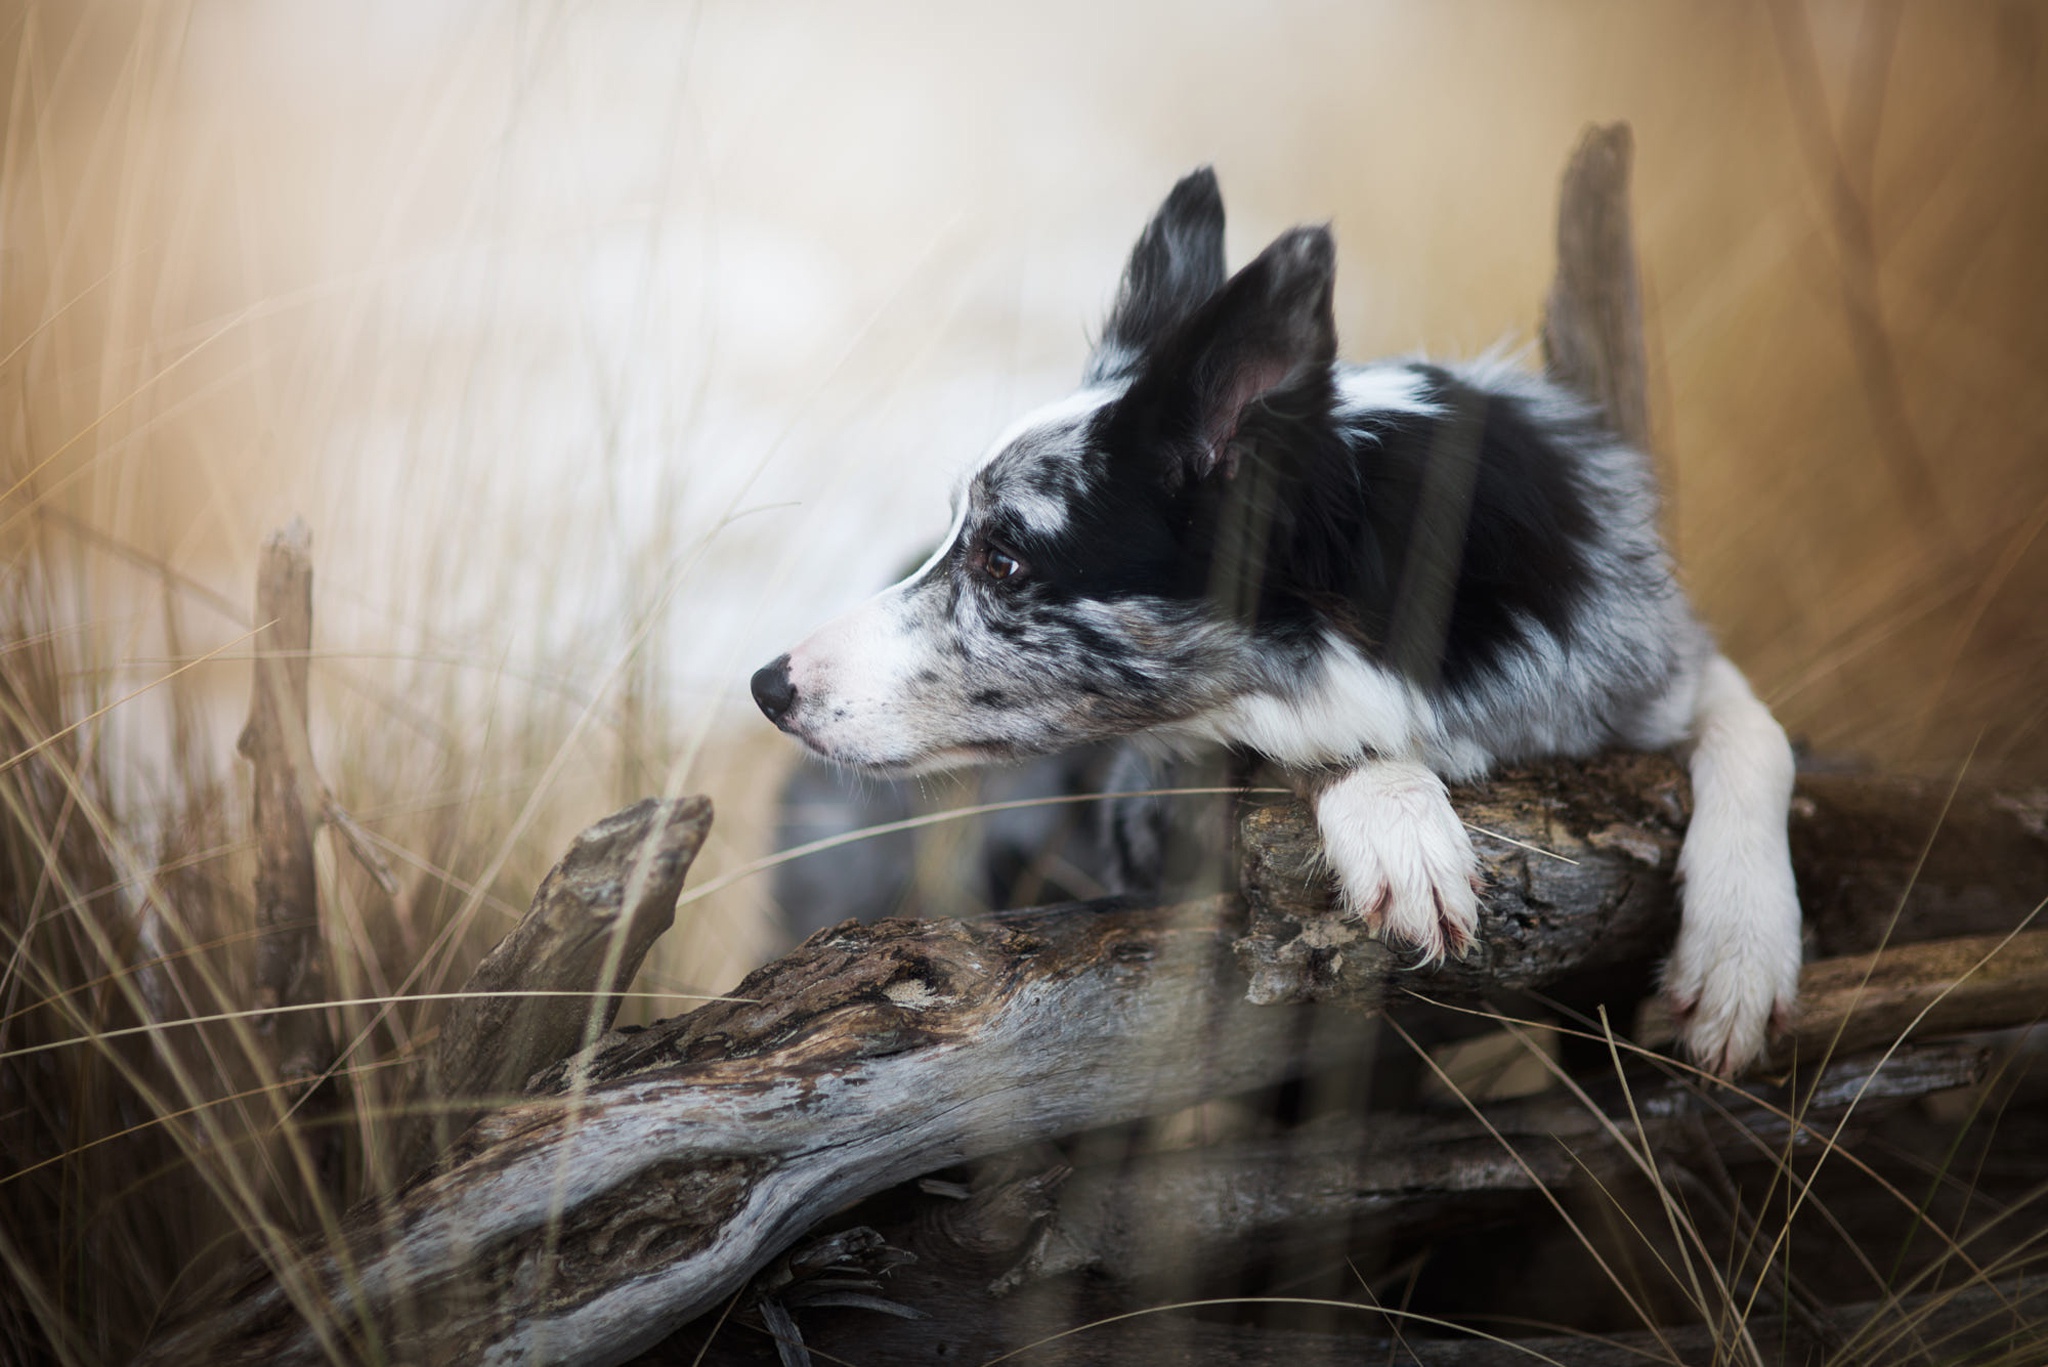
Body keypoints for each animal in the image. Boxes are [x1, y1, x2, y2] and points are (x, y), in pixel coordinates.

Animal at [749, 168, 1794, 1065]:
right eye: (959, 535)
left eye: (1003, 560)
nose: (768, 684)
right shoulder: (1145, 805)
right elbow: (1278, 744)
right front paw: (1397, 816)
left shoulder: (1649, 662)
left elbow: (1761, 734)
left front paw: (1742, 953)